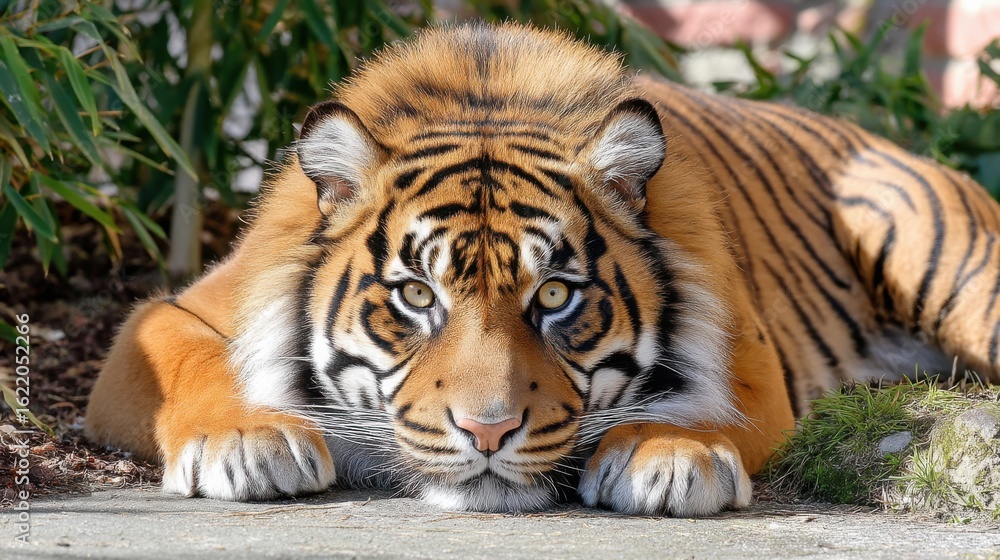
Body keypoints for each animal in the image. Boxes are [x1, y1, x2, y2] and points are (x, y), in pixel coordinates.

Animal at [84, 23, 1000, 516]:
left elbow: (706, 406)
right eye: (415, 295)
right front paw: (246, 441)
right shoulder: (165, 317)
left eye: (555, 295)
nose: (488, 432)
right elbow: (190, 355)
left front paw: (670, 455)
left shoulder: (751, 359)